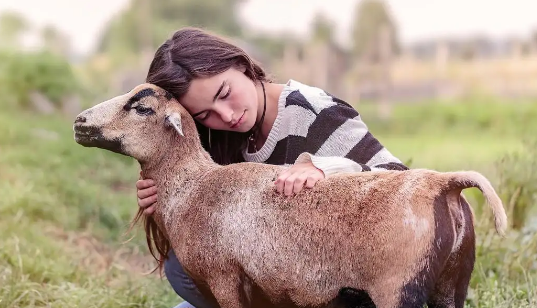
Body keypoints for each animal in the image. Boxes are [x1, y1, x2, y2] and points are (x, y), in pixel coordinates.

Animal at [72, 83, 506, 308]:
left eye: (143, 108)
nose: (79, 122)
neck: (192, 186)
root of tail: (444, 184)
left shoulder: (225, 277)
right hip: (453, 283)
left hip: (398, 290)